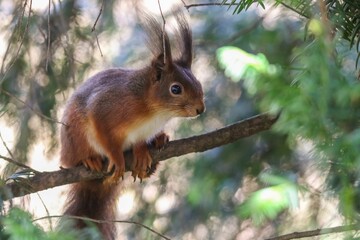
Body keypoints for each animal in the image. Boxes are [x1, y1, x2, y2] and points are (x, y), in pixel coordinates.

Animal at [60, 10, 204, 238]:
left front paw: (142, 153)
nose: (200, 108)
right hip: (74, 139)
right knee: (75, 159)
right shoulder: (103, 109)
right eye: (175, 89)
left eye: (198, 83)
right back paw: (90, 160)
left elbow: (139, 143)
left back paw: (157, 146)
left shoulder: (143, 132)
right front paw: (118, 159)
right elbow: (106, 138)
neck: (154, 112)